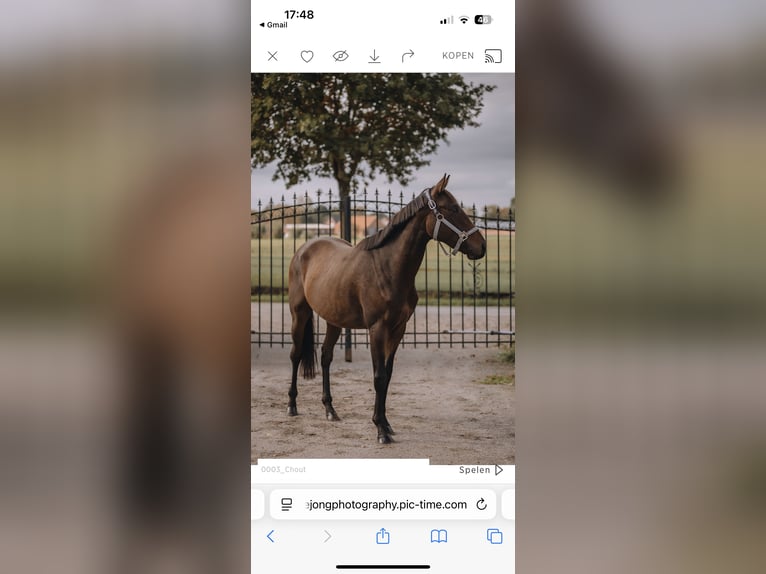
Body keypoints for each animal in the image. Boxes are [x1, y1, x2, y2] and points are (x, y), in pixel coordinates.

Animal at [286, 174, 487, 444]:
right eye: (453, 209)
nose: (482, 246)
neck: (388, 267)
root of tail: (304, 249)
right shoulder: (377, 329)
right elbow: (379, 377)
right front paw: (380, 429)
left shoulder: (398, 329)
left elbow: (388, 375)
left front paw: (386, 424)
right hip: (299, 314)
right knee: (296, 355)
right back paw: (292, 405)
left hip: (334, 320)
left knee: (326, 356)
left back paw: (330, 410)